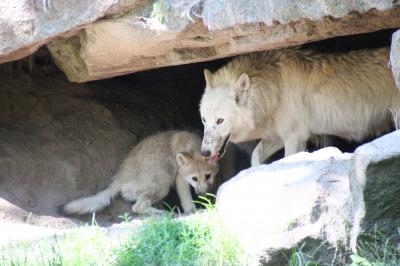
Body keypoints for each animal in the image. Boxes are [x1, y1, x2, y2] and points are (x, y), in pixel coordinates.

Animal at [60, 130, 219, 215]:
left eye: (208, 176)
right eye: (194, 178)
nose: (201, 193)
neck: (193, 145)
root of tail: (118, 180)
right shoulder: (180, 179)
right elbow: (187, 201)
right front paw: (193, 210)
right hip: (163, 182)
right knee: (137, 207)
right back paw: (162, 213)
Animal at [200, 46, 400, 165]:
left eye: (220, 120)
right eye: (204, 120)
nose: (204, 152)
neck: (274, 90)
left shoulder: (295, 137)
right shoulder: (278, 135)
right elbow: (256, 155)